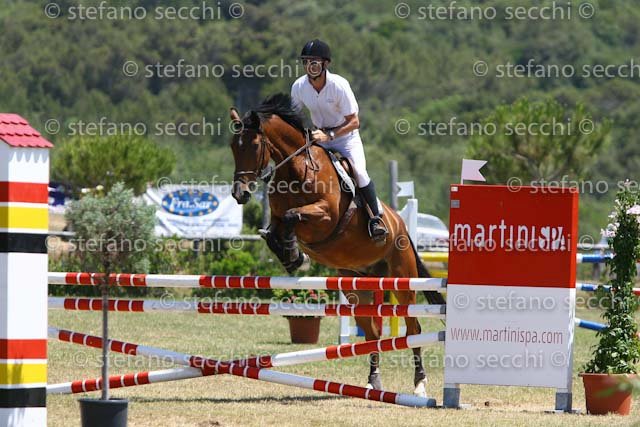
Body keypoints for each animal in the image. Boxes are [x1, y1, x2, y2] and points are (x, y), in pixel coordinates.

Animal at [229, 93, 445, 397]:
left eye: (255, 145)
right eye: (232, 147)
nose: (240, 194)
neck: (297, 170)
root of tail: (400, 224)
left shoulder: (325, 217)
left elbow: (294, 217)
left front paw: (296, 256)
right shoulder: (277, 219)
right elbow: (272, 233)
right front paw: (293, 257)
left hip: (403, 280)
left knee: (413, 329)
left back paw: (420, 385)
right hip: (357, 286)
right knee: (373, 335)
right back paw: (373, 381)